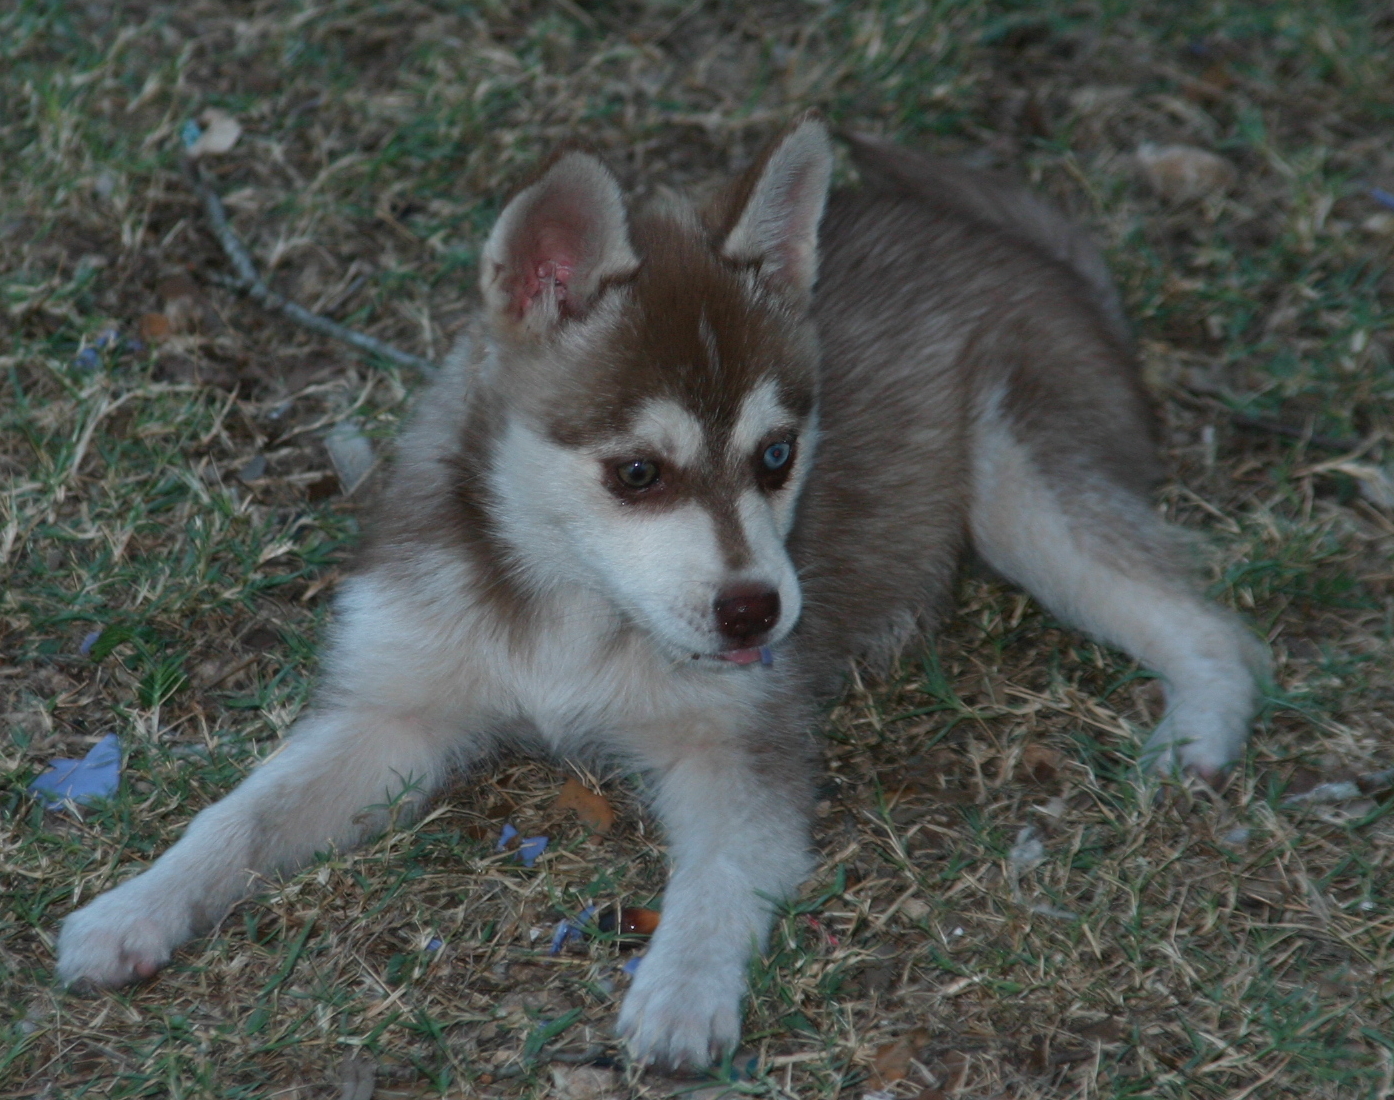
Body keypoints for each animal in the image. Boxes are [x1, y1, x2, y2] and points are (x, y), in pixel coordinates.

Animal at [59, 117, 1271, 1065]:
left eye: (778, 456)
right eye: (637, 473)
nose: (758, 613)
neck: (571, 612)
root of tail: (1041, 258)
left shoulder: (739, 747)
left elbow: (719, 877)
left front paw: (682, 991)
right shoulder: (390, 713)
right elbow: (238, 813)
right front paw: (133, 908)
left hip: (1021, 483)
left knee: (1218, 625)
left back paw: (1193, 737)